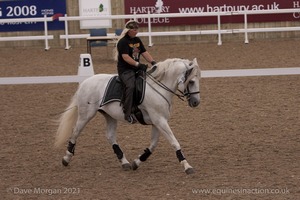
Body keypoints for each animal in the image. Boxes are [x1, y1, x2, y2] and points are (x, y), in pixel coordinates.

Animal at [55, 57, 202, 173]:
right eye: (191, 81)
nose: (196, 102)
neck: (159, 88)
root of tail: (85, 82)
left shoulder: (158, 122)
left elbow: (153, 145)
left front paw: (136, 162)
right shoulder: (160, 121)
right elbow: (174, 142)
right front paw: (187, 166)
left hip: (110, 116)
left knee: (110, 136)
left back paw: (124, 162)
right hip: (86, 115)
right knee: (75, 132)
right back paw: (66, 158)